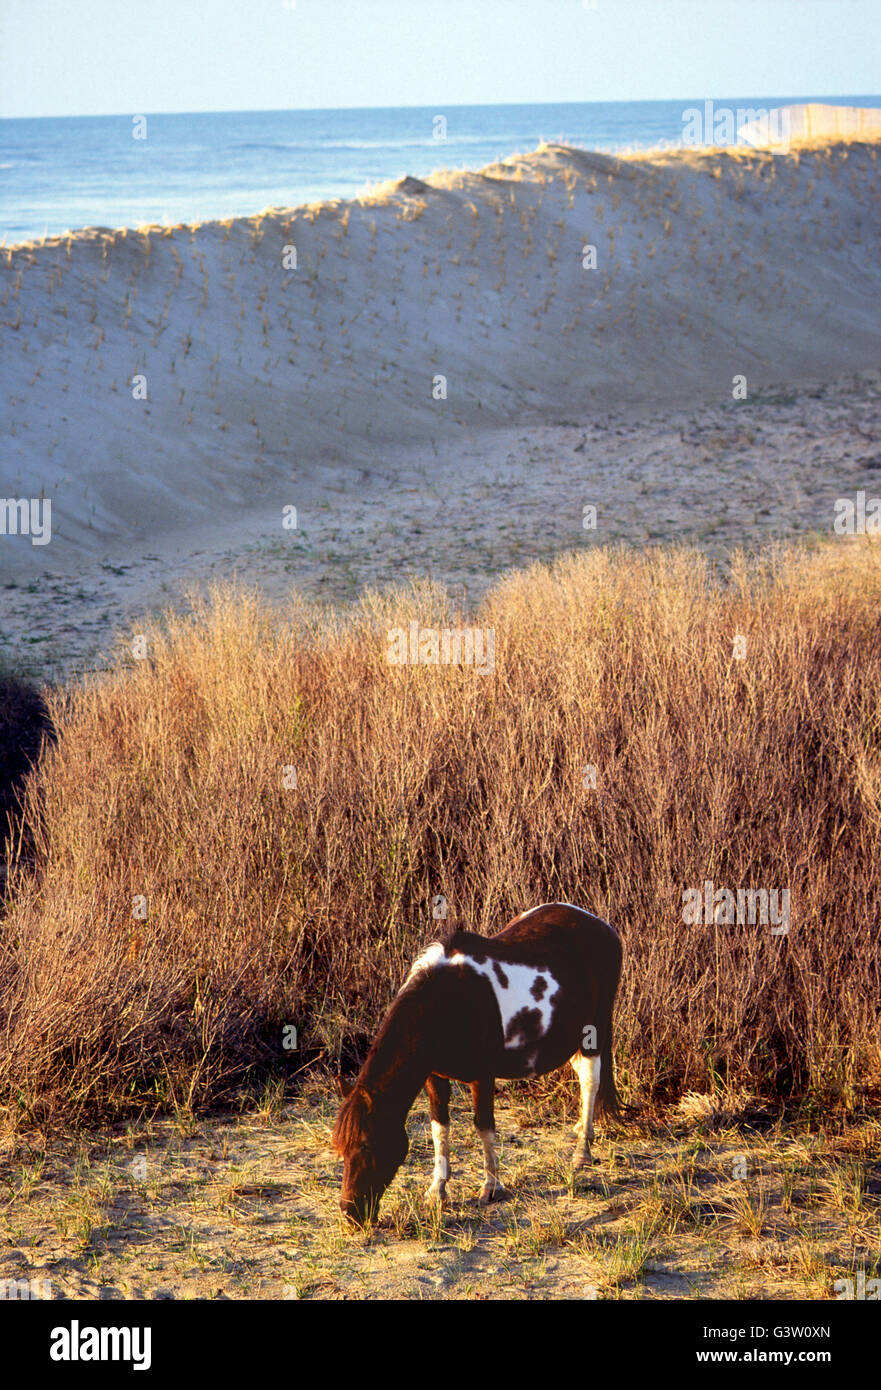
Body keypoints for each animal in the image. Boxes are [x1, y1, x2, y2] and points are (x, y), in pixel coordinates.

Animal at [332, 902, 623, 1225]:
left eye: (368, 1145)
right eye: (342, 1149)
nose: (349, 1213)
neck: (450, 1003)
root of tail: (602, 926)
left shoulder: (482, 1077)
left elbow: (484, 1128)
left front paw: (491, 1188)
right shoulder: (434, 1077)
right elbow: (439, 1128)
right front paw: (438, 1190)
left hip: (593, 1032)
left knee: (590, 1081)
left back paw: (582, 1151)